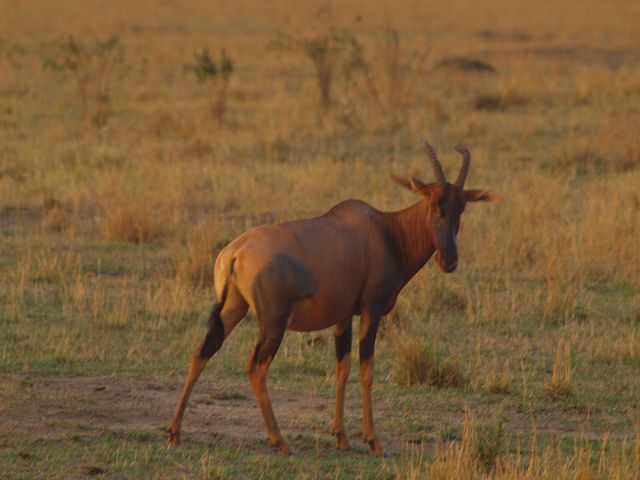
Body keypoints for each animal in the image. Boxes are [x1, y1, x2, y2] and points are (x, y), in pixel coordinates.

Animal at [168, 140, 494, 455]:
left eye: (461, 207)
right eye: (433, 203)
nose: (448, 261)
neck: (386, 231)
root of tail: (236, 251)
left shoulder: (342, 316)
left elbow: (342, 368)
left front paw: (341, 437)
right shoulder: (371, 310)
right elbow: (366, 371)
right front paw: (374, 442)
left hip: (233, 308)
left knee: (202, 352)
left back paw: (175, 432)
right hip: (273, 321)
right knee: (256, 368)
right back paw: (280, 441)